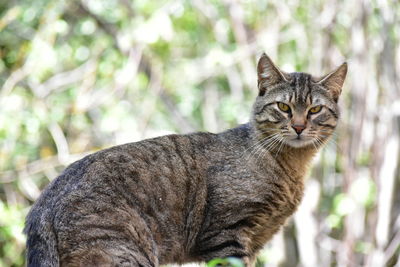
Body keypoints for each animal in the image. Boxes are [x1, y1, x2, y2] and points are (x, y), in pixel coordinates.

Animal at [25, 54, 346, 267]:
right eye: (283, 107)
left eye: (315, 109)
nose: (299, 126)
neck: (291, 168)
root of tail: (41, 205)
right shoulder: (226, 236)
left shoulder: (253, 241)